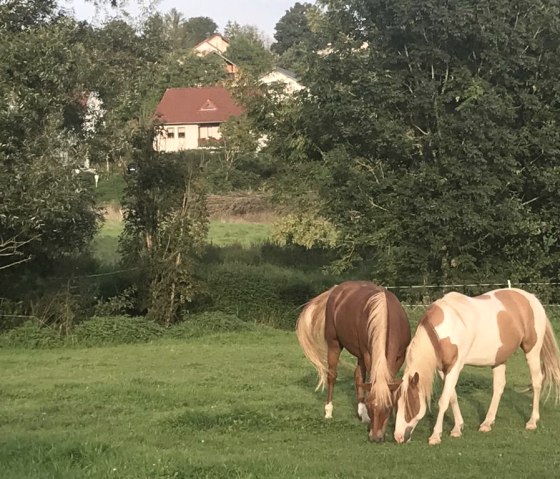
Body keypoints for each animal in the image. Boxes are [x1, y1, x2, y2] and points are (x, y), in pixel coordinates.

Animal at [296, 282, 410, 442]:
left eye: (387, 407)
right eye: (370, 406)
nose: (375, 437)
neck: (386, 317)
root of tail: (337, 288)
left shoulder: (400, 357)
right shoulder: (368, 354)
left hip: (359, 354)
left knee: (358, 376)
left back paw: (361, 414)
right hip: (334, 344)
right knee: (332, 375)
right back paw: (329, 411)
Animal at [394, 288, 560, 446]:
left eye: (409, 405)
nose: (398, 437)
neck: (446, 328)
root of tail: (531, 298)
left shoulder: (455, 367)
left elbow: (444, 400)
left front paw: (435, 436)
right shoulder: (443, 369)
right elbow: (452, 396)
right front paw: (457, 428)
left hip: (532, 350)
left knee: (537, 382)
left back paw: (532, 421)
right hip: (499, 358)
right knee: (499, 387)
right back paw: (487, 423)